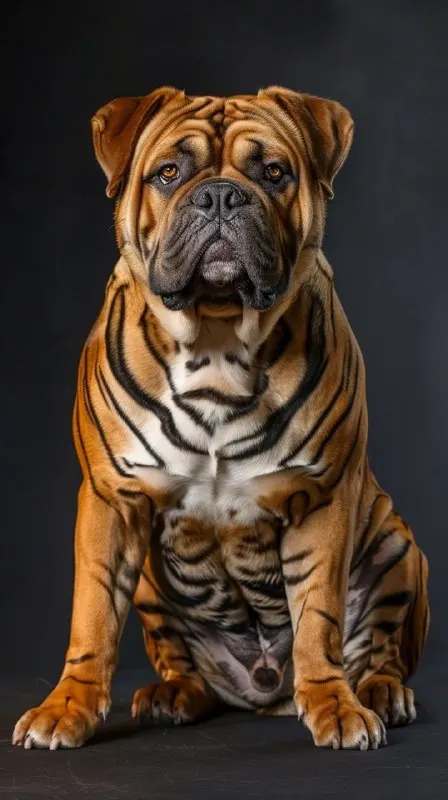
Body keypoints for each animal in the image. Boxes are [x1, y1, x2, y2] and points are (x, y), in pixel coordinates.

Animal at [13, 85, 429, 751]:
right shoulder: (112, 502)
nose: (221, 195)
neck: (216, 338)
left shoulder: (322, 501)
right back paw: (172, 696)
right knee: (179, 660)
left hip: (397, 546)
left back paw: (378, 692)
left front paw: (334, 704)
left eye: (274, 172)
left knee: (379, 650)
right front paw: (67, 706)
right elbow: (93, 617)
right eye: (169, 173)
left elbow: (319, 619)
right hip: (152, 583)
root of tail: (263, 688)